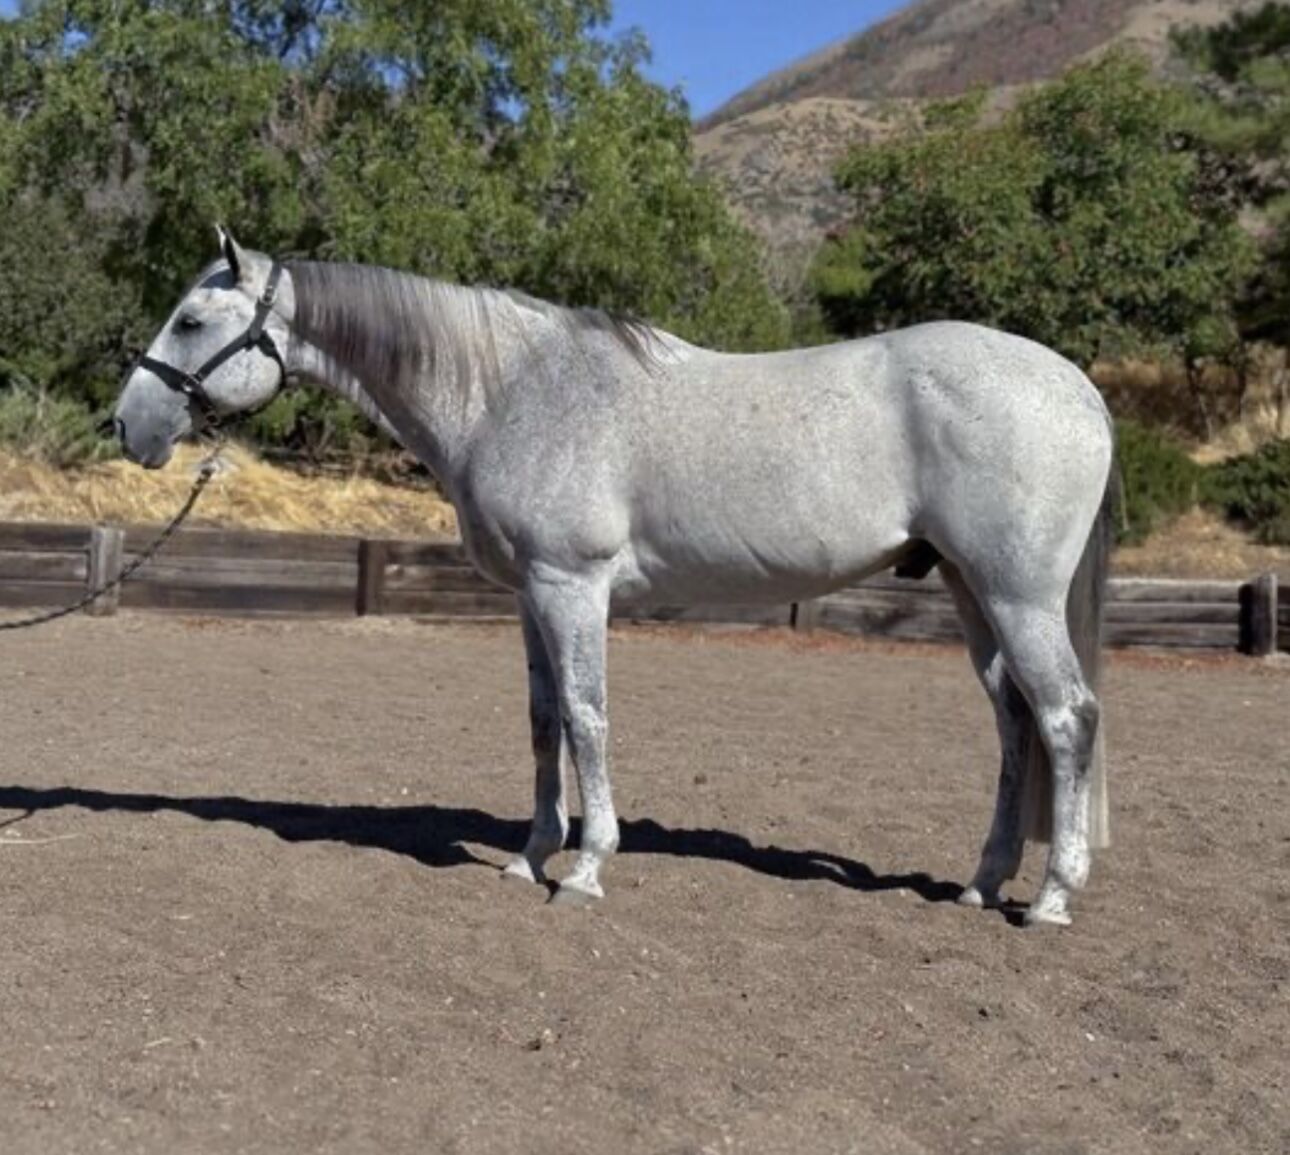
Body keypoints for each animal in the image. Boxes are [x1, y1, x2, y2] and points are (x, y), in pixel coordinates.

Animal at [114, 228, 1114, 926]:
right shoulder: (530, 595)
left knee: (1067, 717)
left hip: (1016, 595)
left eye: (192, 321)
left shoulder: (574, 585)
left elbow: (589, 716)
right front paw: (528, 856)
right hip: (971, 594)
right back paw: (982, 883)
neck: (509, 391)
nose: (129, 424)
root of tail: (1083, 391)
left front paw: (588, 868)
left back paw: (1052, 896)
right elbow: (543, 719)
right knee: (1015, 722)